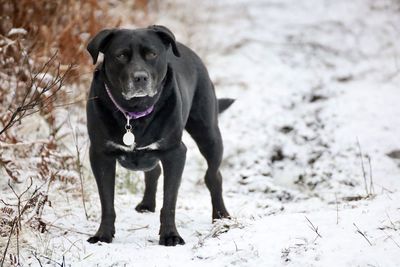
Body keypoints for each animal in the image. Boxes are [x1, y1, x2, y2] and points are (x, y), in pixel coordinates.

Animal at [86, 25, 233, 247]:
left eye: (152, 54)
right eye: (121, 55)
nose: (140, 77)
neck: (134, 112)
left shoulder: (175, 153)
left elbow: (169, 203)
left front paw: (170, 235)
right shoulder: (100, 155)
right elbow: (107, 202)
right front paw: (103, 235)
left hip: (208, 134)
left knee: (213, 176)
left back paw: (221, 215)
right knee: (153, 171)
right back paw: (147, 204)